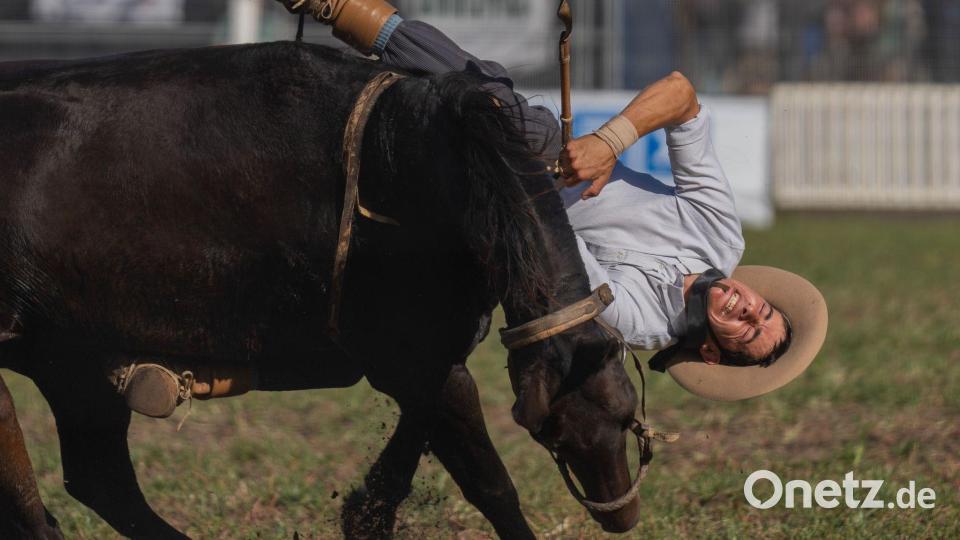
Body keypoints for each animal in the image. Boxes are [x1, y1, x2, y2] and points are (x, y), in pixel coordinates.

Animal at [0, 41, 646, 539]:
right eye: (555, 432)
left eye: (624, 411)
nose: (620, 513)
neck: (409, 157)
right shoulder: (412, 360)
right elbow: (491, 484)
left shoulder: (432, 359)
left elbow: (407, 455)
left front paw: (367, 513)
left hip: (71, 363)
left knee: (100, 480)